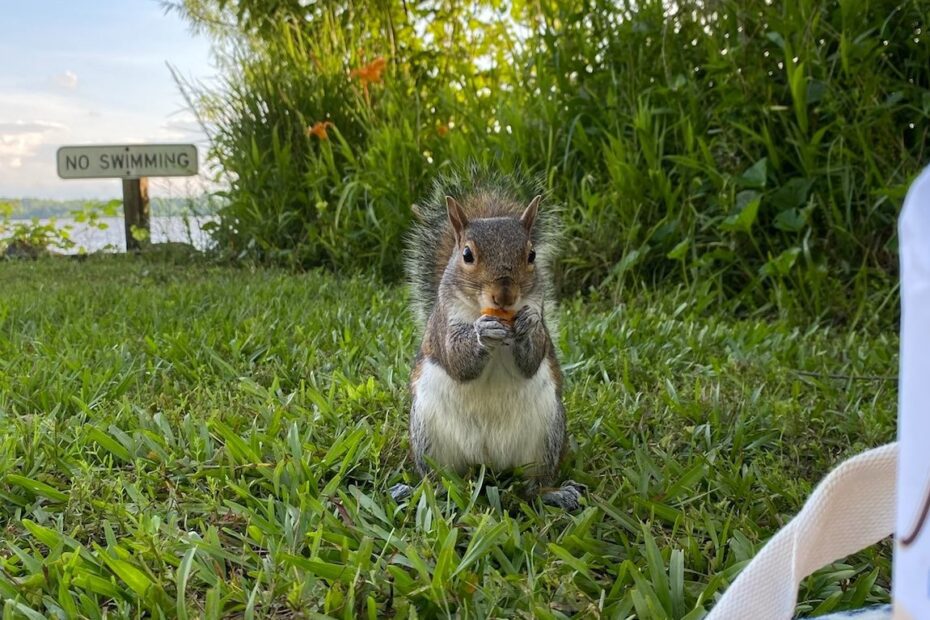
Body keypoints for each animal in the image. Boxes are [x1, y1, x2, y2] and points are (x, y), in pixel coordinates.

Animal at [390, 170, 580, 508]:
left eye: (532, 255)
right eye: (467, 254)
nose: (504, 295)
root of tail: (487, 461)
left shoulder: (540, 319)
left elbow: (532, 359)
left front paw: (526, 325)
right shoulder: (443, 326)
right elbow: (457, 361)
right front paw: (482, 332)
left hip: (547, 436)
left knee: (534, 484)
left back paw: (553, 493)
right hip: (429, 437)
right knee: (439, 478)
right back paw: (420, 490)